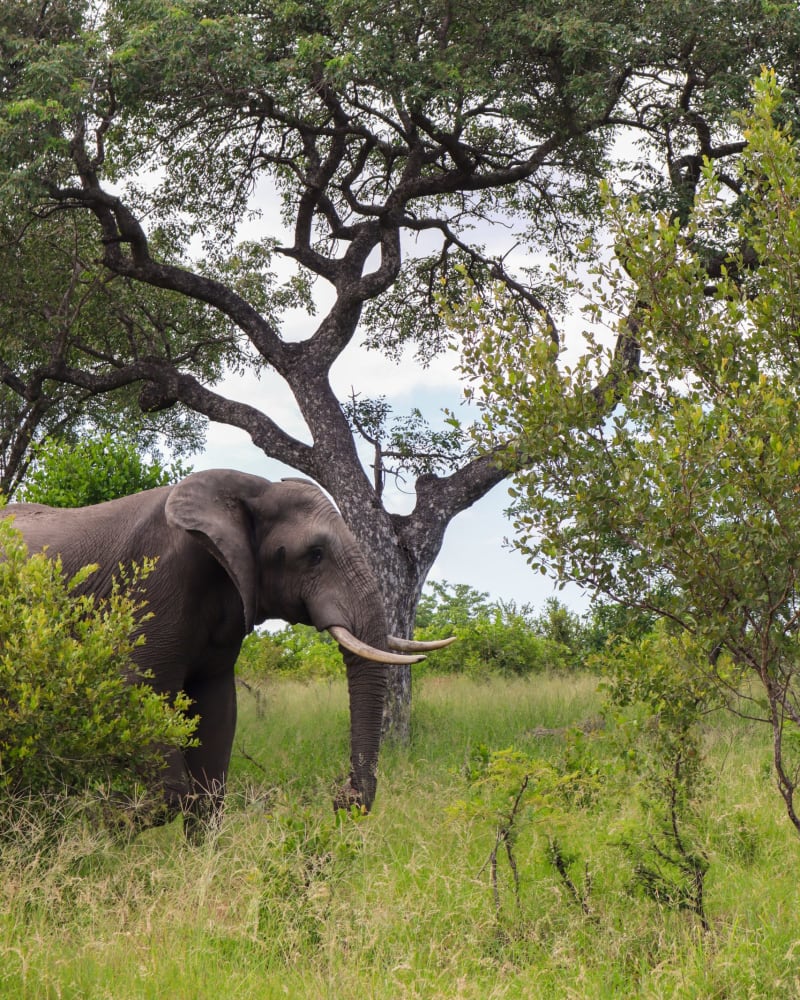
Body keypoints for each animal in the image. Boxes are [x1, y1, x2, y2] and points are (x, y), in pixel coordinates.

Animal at [1, 469, 452, 832]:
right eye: (314, 554)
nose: (343, 802)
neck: (251, 489)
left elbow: (217, 714)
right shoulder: (153, 586)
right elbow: (135, 696)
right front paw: (96, 824)